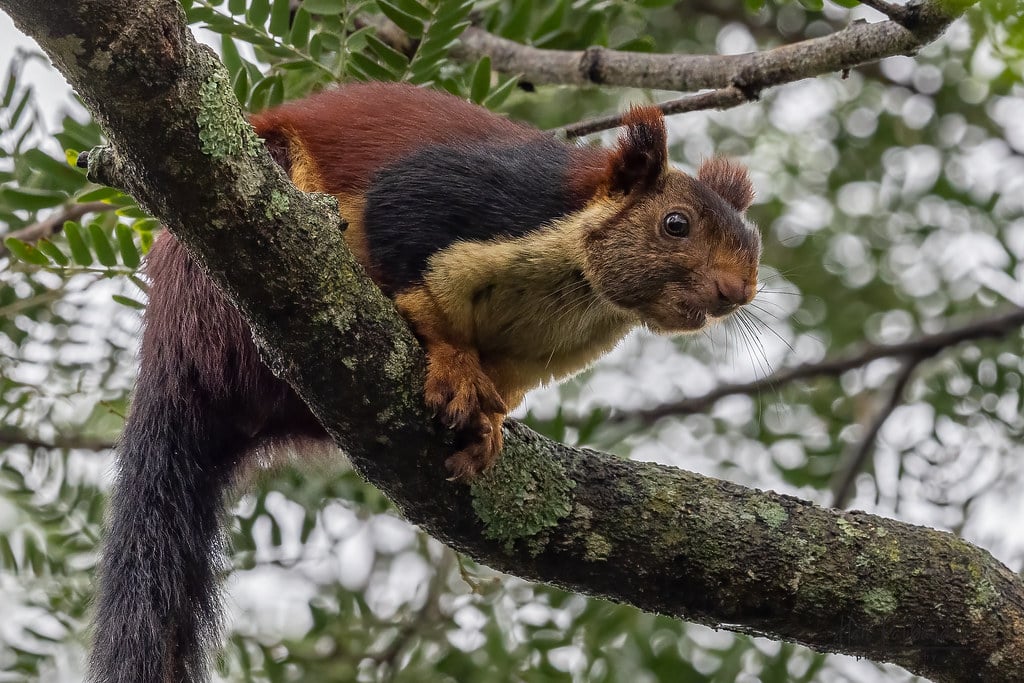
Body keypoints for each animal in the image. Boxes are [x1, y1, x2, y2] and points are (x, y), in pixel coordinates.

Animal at [86, 81, 760, 683]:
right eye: (676, 225)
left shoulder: (539, 353)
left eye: (752, 243)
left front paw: (491, 421)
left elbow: (504, 383)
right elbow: (405, 239)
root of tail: (170, 348)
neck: (579, 288)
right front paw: (455, 364)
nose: (739, 291)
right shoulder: (486, 200)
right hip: (228, 271)